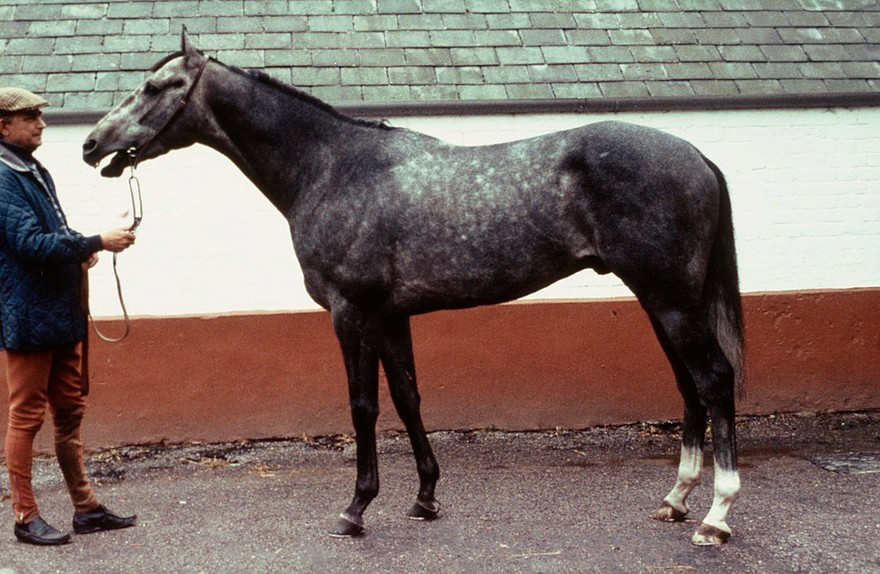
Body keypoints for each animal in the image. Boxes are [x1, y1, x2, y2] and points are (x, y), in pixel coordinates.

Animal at [82, 29, 745, 546]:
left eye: (155, 87)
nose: (92, 145)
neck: (333, 168)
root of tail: (696, 155)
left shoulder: (351, 312)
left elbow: (364, 406)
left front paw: (355, 509)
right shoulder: (390, 315)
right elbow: (408, 398)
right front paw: (425, 497)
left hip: (669, 299)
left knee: (713, 379)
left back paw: (715, 517)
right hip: (660, 300)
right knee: (688, 385)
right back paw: (676, 500)